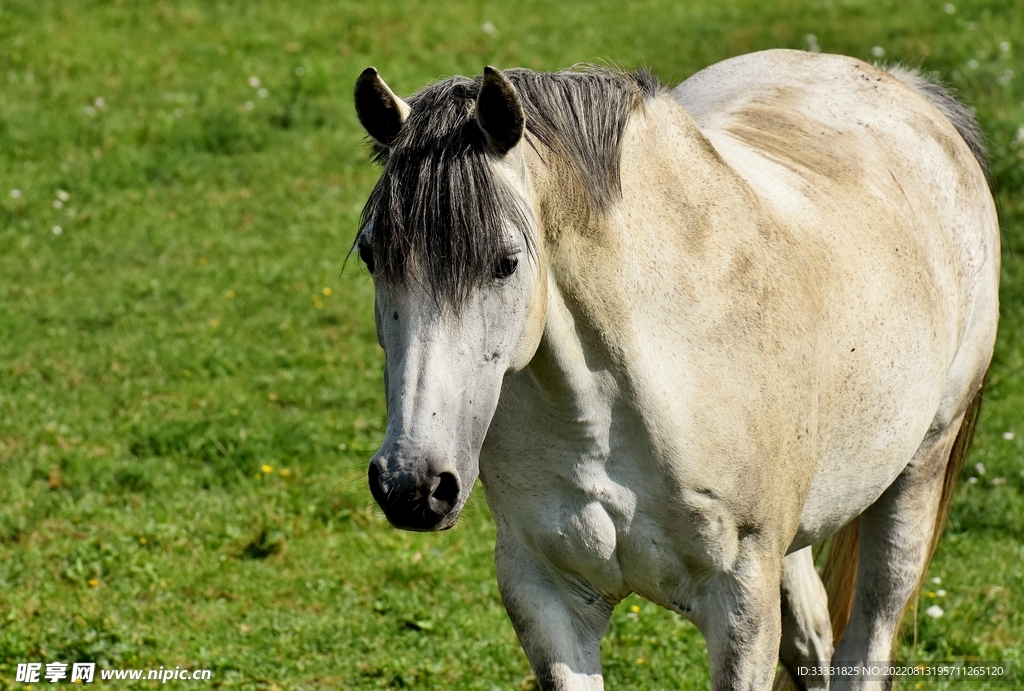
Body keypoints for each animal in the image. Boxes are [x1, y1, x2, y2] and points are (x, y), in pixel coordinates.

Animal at [352, 49, 998, 690]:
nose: (411, 485)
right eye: (371, 255)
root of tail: (903, 88)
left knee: (866, 644)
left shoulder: (740, 603)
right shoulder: (546, 597)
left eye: (506, 262)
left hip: (916, 474)